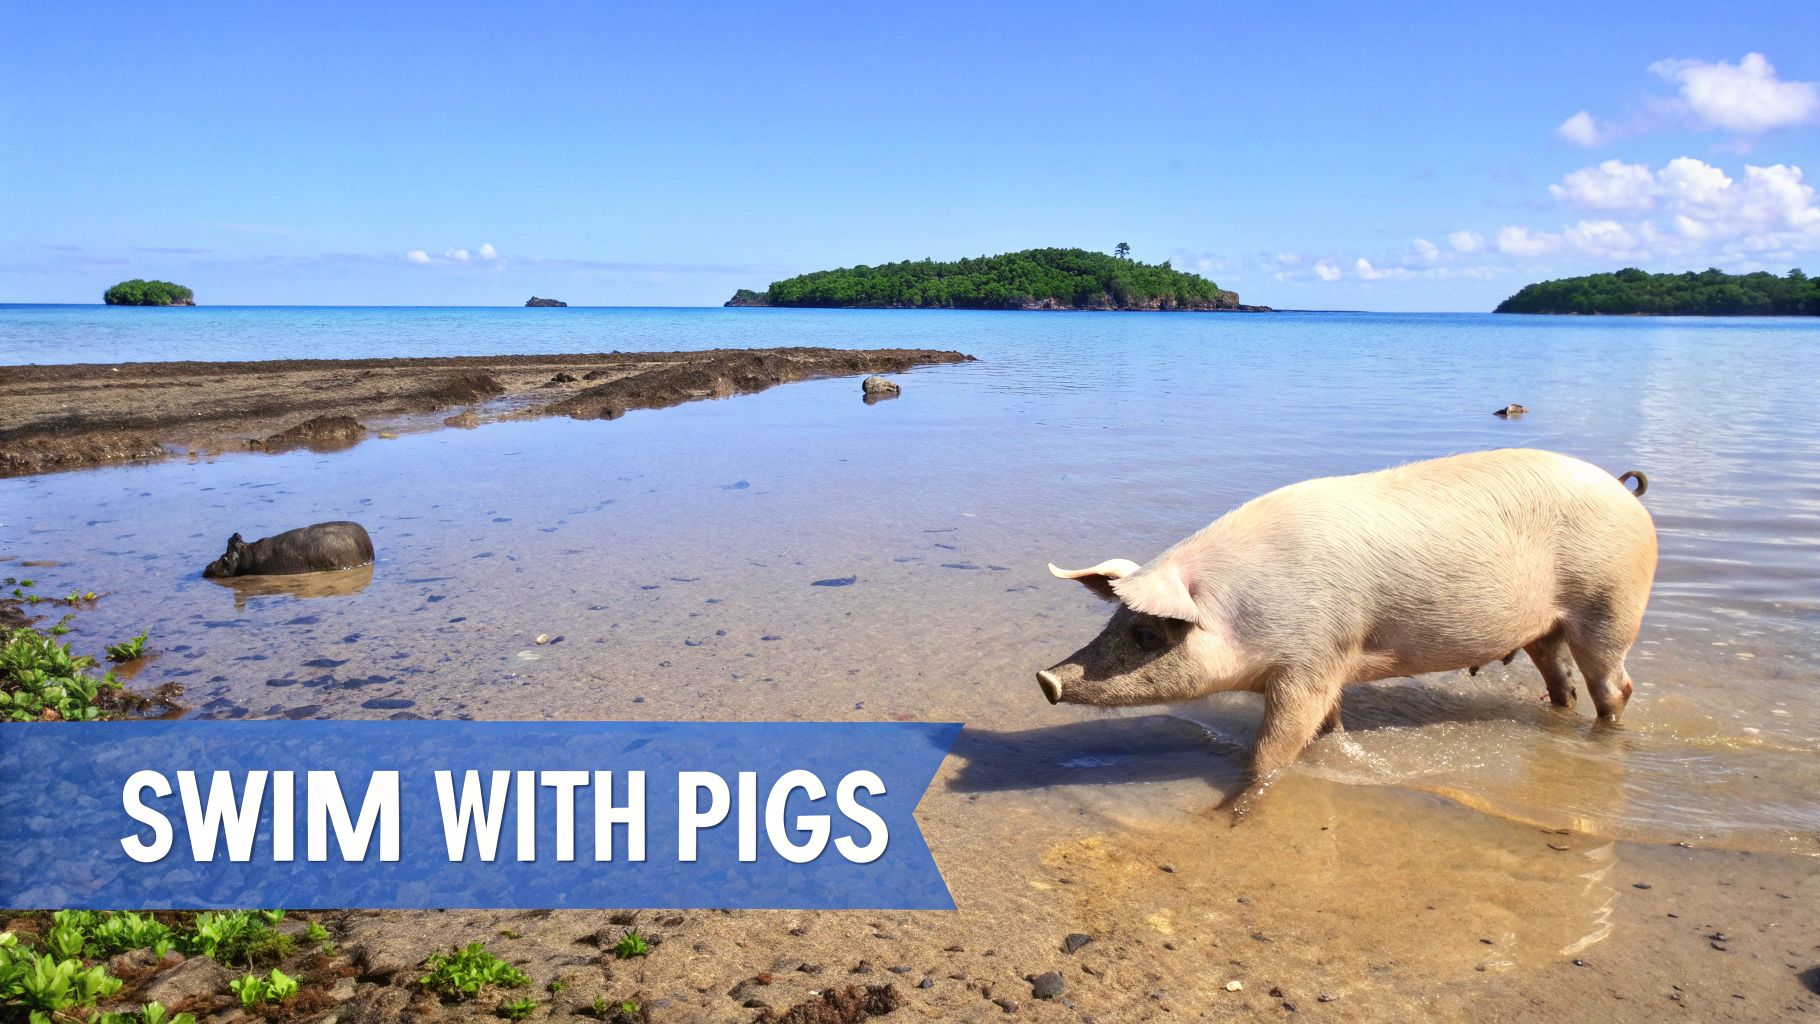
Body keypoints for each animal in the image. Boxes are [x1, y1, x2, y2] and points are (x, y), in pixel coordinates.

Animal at [1038, 449, 1655, 806]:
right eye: (1115, 619)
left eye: (1147, 635)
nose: (1047, 679)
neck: (1244, 610)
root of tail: (1625, 490)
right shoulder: (1332, 662)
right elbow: (1328, 725)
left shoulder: (1308, 660)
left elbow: (1275, 746)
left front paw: (1230, 809)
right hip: (1545, 628)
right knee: (1561, 681)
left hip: (1610, 603)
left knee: (1615, 686)